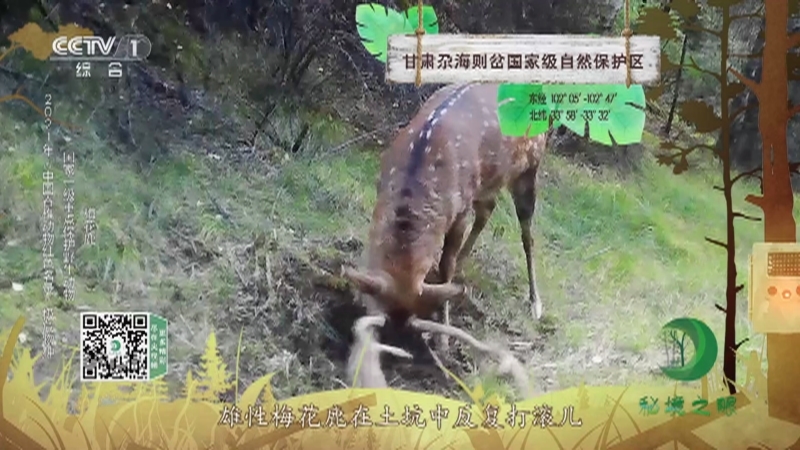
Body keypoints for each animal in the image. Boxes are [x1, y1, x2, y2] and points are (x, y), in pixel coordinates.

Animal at [341, 81, 547, 392]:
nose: (399, 355)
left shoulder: (460, 208)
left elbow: (446, 263)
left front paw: (444, 339)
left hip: (529, 166)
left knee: (527, 233)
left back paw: (535, 303)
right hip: (489, 182)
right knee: (488, 209)